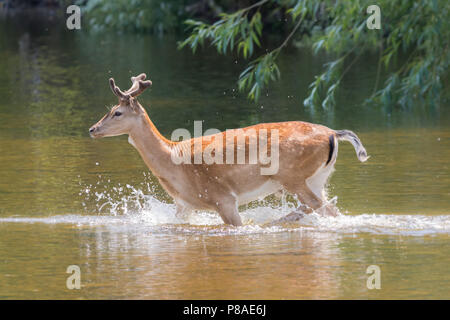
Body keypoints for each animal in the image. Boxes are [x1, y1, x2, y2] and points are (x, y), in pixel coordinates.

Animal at [89, 74, 368, 226]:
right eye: (109, 110)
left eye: (117, 112)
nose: (93, 129)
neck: (173, 159)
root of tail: (333, 133)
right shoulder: (183, 205)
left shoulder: (222, 198)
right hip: (318, 178)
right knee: (328, 208)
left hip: (293, 175)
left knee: (318, 206)